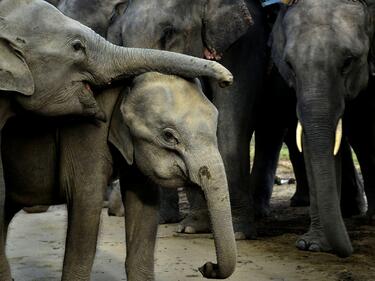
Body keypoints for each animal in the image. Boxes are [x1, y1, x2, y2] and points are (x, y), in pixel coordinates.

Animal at [108, 0, 270, 237]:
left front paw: (238, 232)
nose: (226, 79)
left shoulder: (244, 46)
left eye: (168, 33)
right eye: (121, 37)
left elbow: (231, 118)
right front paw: (192, 227)